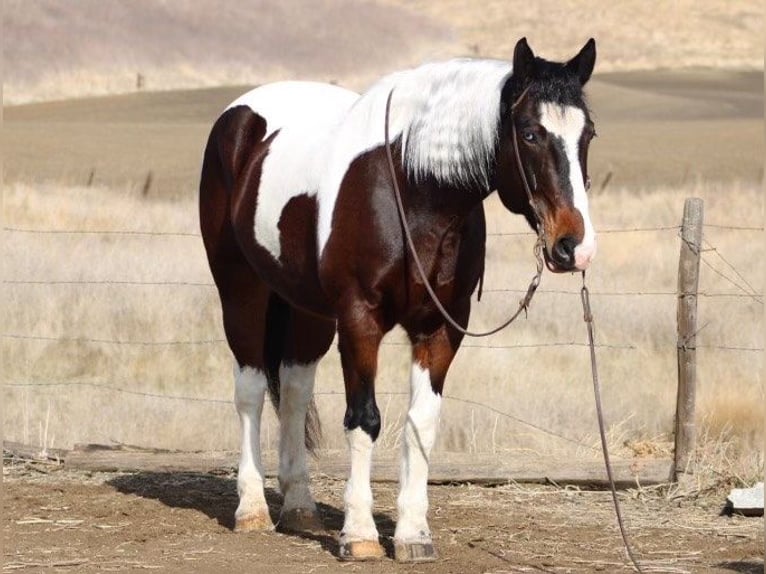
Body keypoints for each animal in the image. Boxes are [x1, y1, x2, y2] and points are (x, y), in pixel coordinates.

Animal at [199, 37, 597, 562]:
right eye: (530, 133)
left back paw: (300, 507)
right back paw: (252, 510)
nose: (575, 247)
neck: (413, 192)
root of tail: (240, 115)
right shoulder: (359, 319)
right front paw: (360, 535)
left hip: (307, 312)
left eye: (588, 134)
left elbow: (421, 424)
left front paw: (413, 534)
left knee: (294, 390)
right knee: (250, 391)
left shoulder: (441, 327)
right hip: (242, 290)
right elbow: (364, 420)